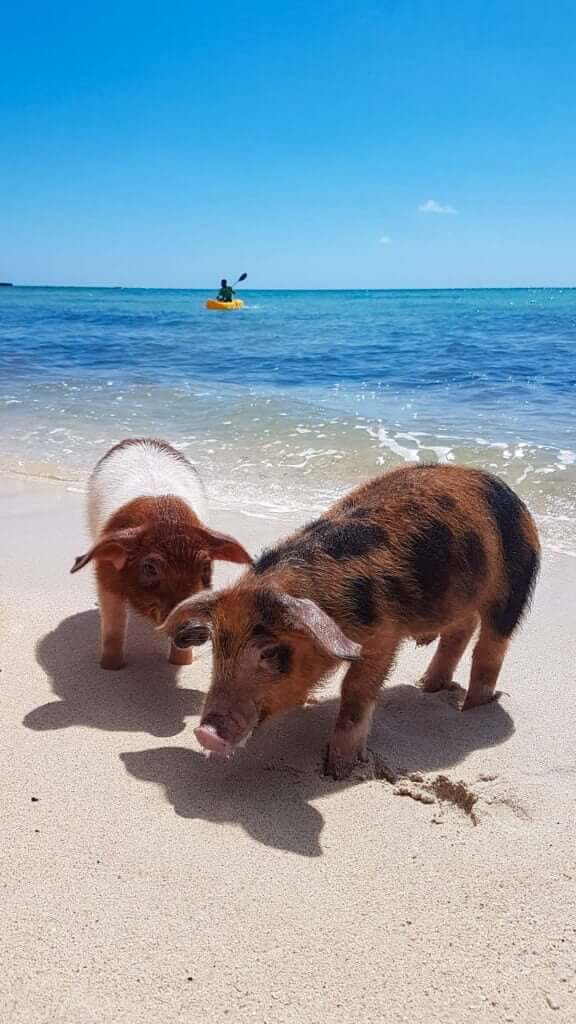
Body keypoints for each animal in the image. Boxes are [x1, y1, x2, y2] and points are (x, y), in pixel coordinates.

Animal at [71, 438, 252, 670]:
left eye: (205, 566)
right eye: (150, 568)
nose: (195, 628)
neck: (167, 518)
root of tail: (142, 439)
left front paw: (181, 664)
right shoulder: (106, 578)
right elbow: (114, 627)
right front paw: (110, 668)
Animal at [162, 464, 540, 779]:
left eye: (268, 652)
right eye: (217, 648)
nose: (204, 733)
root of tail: (512, 496)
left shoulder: (383, 635)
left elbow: (356, 692)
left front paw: (340, 771)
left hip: (513, 587)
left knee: (491, 646)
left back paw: (471, 709)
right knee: (460, 631)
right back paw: (427, 687)